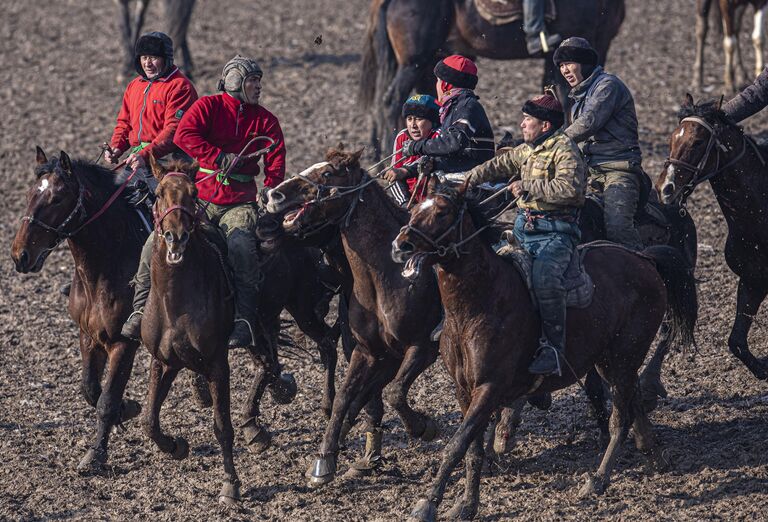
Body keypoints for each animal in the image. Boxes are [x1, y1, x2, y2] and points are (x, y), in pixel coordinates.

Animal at [10, 146, 147, 472]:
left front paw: (95, 455)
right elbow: (90, 389)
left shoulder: (124, 342)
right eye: (29, 194)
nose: (20, 255)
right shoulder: (88, 335)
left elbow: (106, 400)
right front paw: (128, 408)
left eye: (57, 198)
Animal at [268, 148, 440, 486]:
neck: (389, 276)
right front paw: (325, 458)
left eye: (327, 174)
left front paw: (423, 426)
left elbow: (395, 393)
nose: (274, 194)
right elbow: (347, 396)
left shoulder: (423, 346)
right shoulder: (369, 351)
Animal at [392, 185, 700, 516]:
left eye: (442, 212)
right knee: (631, 403)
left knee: (621, 418)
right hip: (611, 362)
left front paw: (428, 504)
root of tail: (643, 258)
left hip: (624, 357)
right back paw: (653, 453)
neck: (479, 303)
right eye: (413, 210)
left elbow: (456, 445)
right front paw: (466, 505)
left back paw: (598, 480)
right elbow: (471, 449)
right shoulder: (464, 391)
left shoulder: (488, 388)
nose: (400, 245)